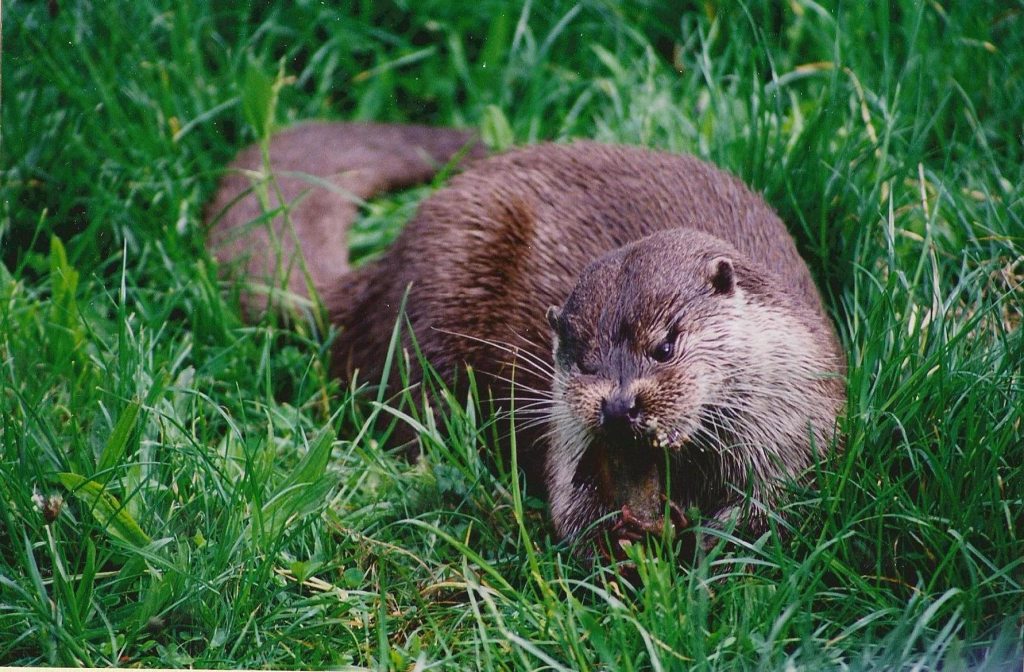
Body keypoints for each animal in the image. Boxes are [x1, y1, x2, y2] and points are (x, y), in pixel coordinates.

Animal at [206, 122, 845, 559]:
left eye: (664, 346)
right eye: (582, 359)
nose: (618, 407)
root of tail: (377, 277)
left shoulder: (802, 416)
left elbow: (779, 497)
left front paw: (715, 539)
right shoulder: (566, 431)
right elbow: (569, 504)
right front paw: (617, 538)